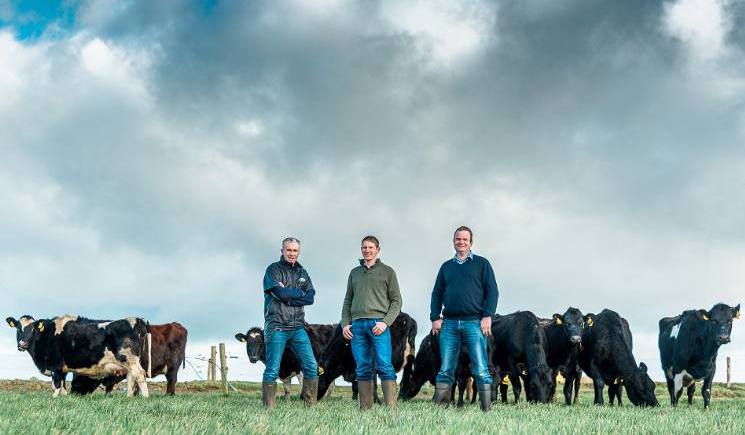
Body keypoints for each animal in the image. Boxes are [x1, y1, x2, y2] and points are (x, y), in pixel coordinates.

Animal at [5, 316, 150, 400]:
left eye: (32, 329)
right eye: (18, 328)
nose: (22, 344)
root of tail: (137, 319)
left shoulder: (56, 366)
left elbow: (56, 385)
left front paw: (54, 399)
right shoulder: (62, 369)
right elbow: (62, 386)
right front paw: (63, 398)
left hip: (130, 359)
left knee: (140, 376)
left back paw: (145, 397)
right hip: (128, 363)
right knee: (131, 378)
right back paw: (129, 398)